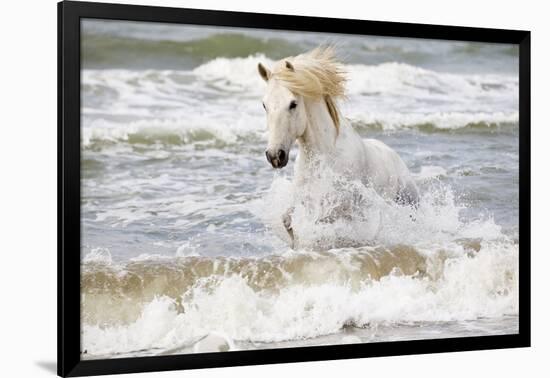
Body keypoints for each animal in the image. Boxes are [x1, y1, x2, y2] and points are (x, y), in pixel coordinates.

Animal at [258, 46, 418, 245]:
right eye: (264, 105)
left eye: (293, 104)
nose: (275, 155)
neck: (326, 155)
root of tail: (394, 156)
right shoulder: (305, 198)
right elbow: (288, 220)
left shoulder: (340, 207)